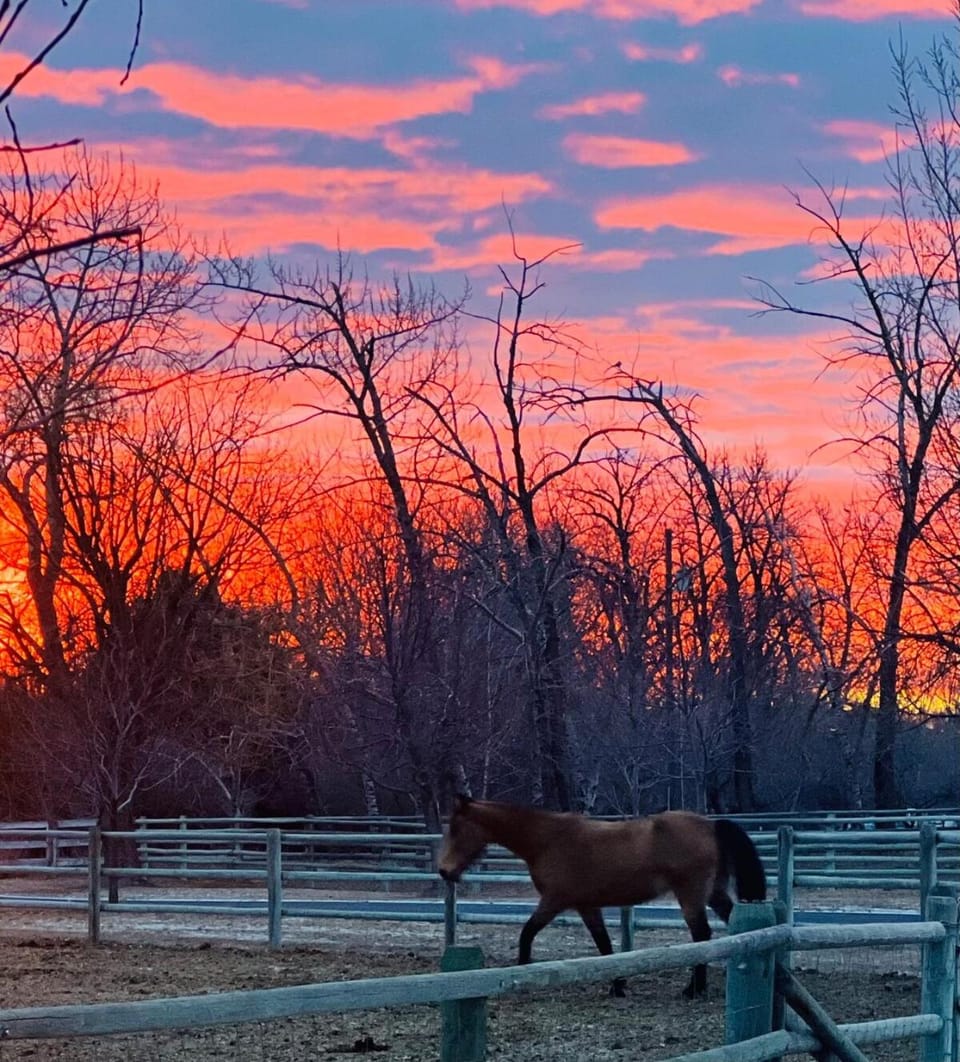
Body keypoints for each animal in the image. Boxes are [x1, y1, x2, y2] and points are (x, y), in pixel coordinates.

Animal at [437, 794, 766, 998]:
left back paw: (693, 990)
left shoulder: (553, 902)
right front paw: (618, 986)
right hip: (713, 894)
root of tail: (711, 825)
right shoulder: (587, 907)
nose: (444, 871)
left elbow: (526, 933)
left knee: (702, 935)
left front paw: (522, 971)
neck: (548, 840)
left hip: (691, 896)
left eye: (455, 828)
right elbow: (605, 946)